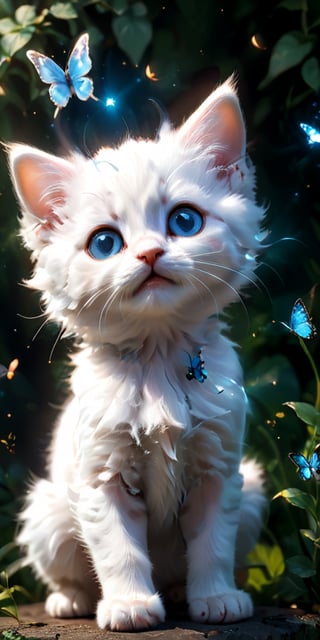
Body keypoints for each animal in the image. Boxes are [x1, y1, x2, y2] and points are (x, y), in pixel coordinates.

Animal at [8, 79, 266, 632]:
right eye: (105, 243)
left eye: (184, 220)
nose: (149, 254)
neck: (157, 358)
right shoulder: (101, 478)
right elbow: (118, 552)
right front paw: (129, 605)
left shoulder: (219, 470)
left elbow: (212, 546)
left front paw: (217, 598)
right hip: (48, 515)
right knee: (71, 572)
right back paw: (72, 600)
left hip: (254, 492)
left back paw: (182, 592)